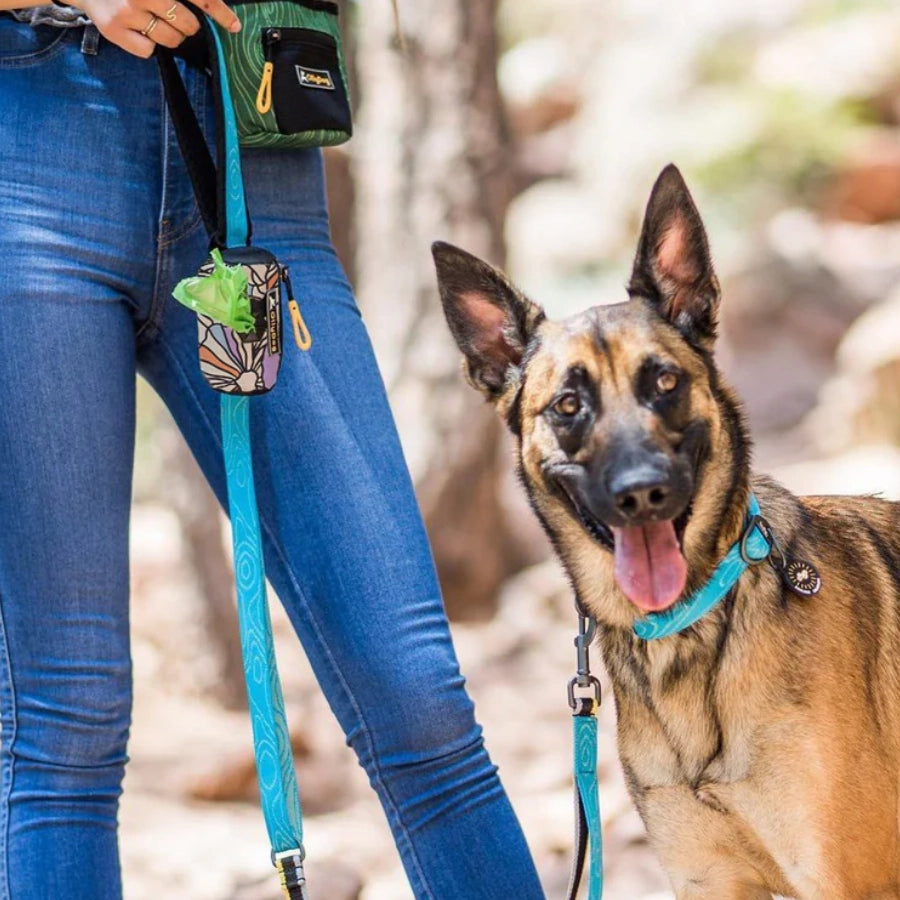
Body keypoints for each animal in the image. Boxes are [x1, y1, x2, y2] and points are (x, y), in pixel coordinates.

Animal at [430, 165, 900, 896]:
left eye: (666, 382)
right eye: (569, 404)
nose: (641, 493)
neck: (690, 633)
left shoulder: (846, 881)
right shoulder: (710, 881)